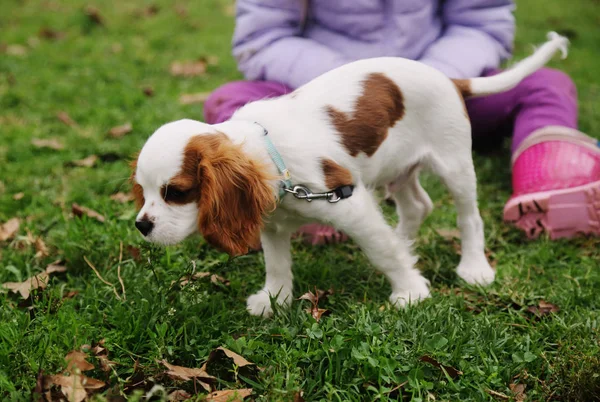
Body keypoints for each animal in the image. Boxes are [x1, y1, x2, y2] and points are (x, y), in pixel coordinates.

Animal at [130, 33, 568, 316]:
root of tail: (448, 78)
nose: (141, 226)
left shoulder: (347, 201)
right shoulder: (271, 221)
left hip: (454, 162)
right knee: (417, 206)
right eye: (144, 192)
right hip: (397, 168)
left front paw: (410, 292)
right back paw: (408, 240)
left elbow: (381, 249)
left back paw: (474, 268)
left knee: (468, 216)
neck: (274, 159)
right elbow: (277, 263)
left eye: (175, 192)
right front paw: (274, 300)